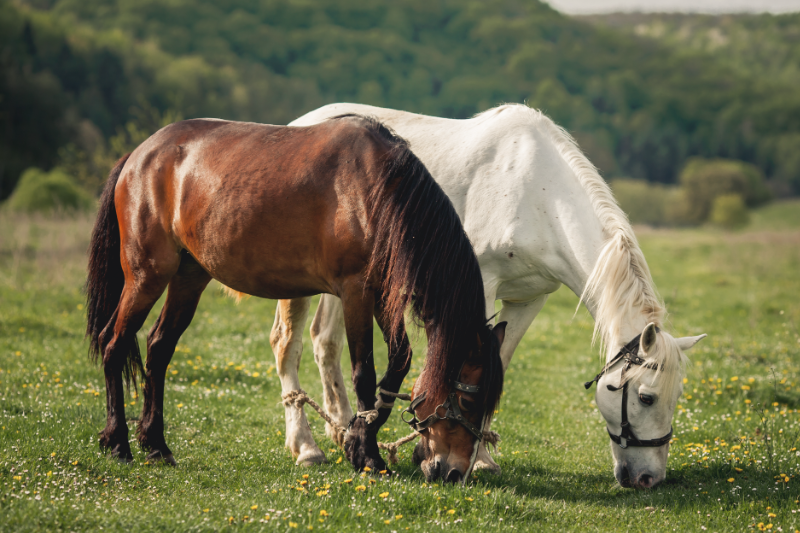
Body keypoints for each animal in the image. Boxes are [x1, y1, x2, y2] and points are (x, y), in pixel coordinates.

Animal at [84, 114, 504, 476]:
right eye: (468, 400)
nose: (454, 472)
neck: (378, 192)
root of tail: (139, 155)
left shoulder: (383, 294)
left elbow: (398, 364)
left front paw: (357, 439)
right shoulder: (356, 292)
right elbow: (364, 374)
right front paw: (367, 454)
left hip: (189, 278)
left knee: (158, 349)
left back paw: (155, 444)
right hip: (146, 276)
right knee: (114, 343)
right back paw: (118, 442)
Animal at [274, 103, 708, 486]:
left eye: (677, 396)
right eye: (647, 397)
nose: (649, 478)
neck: (539, 195)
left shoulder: (529, 299)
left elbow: (498, 361)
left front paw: (478, 456)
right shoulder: (479, 286)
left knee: (325, 342)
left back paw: (343, 429)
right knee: (287, 344)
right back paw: (306, 447)